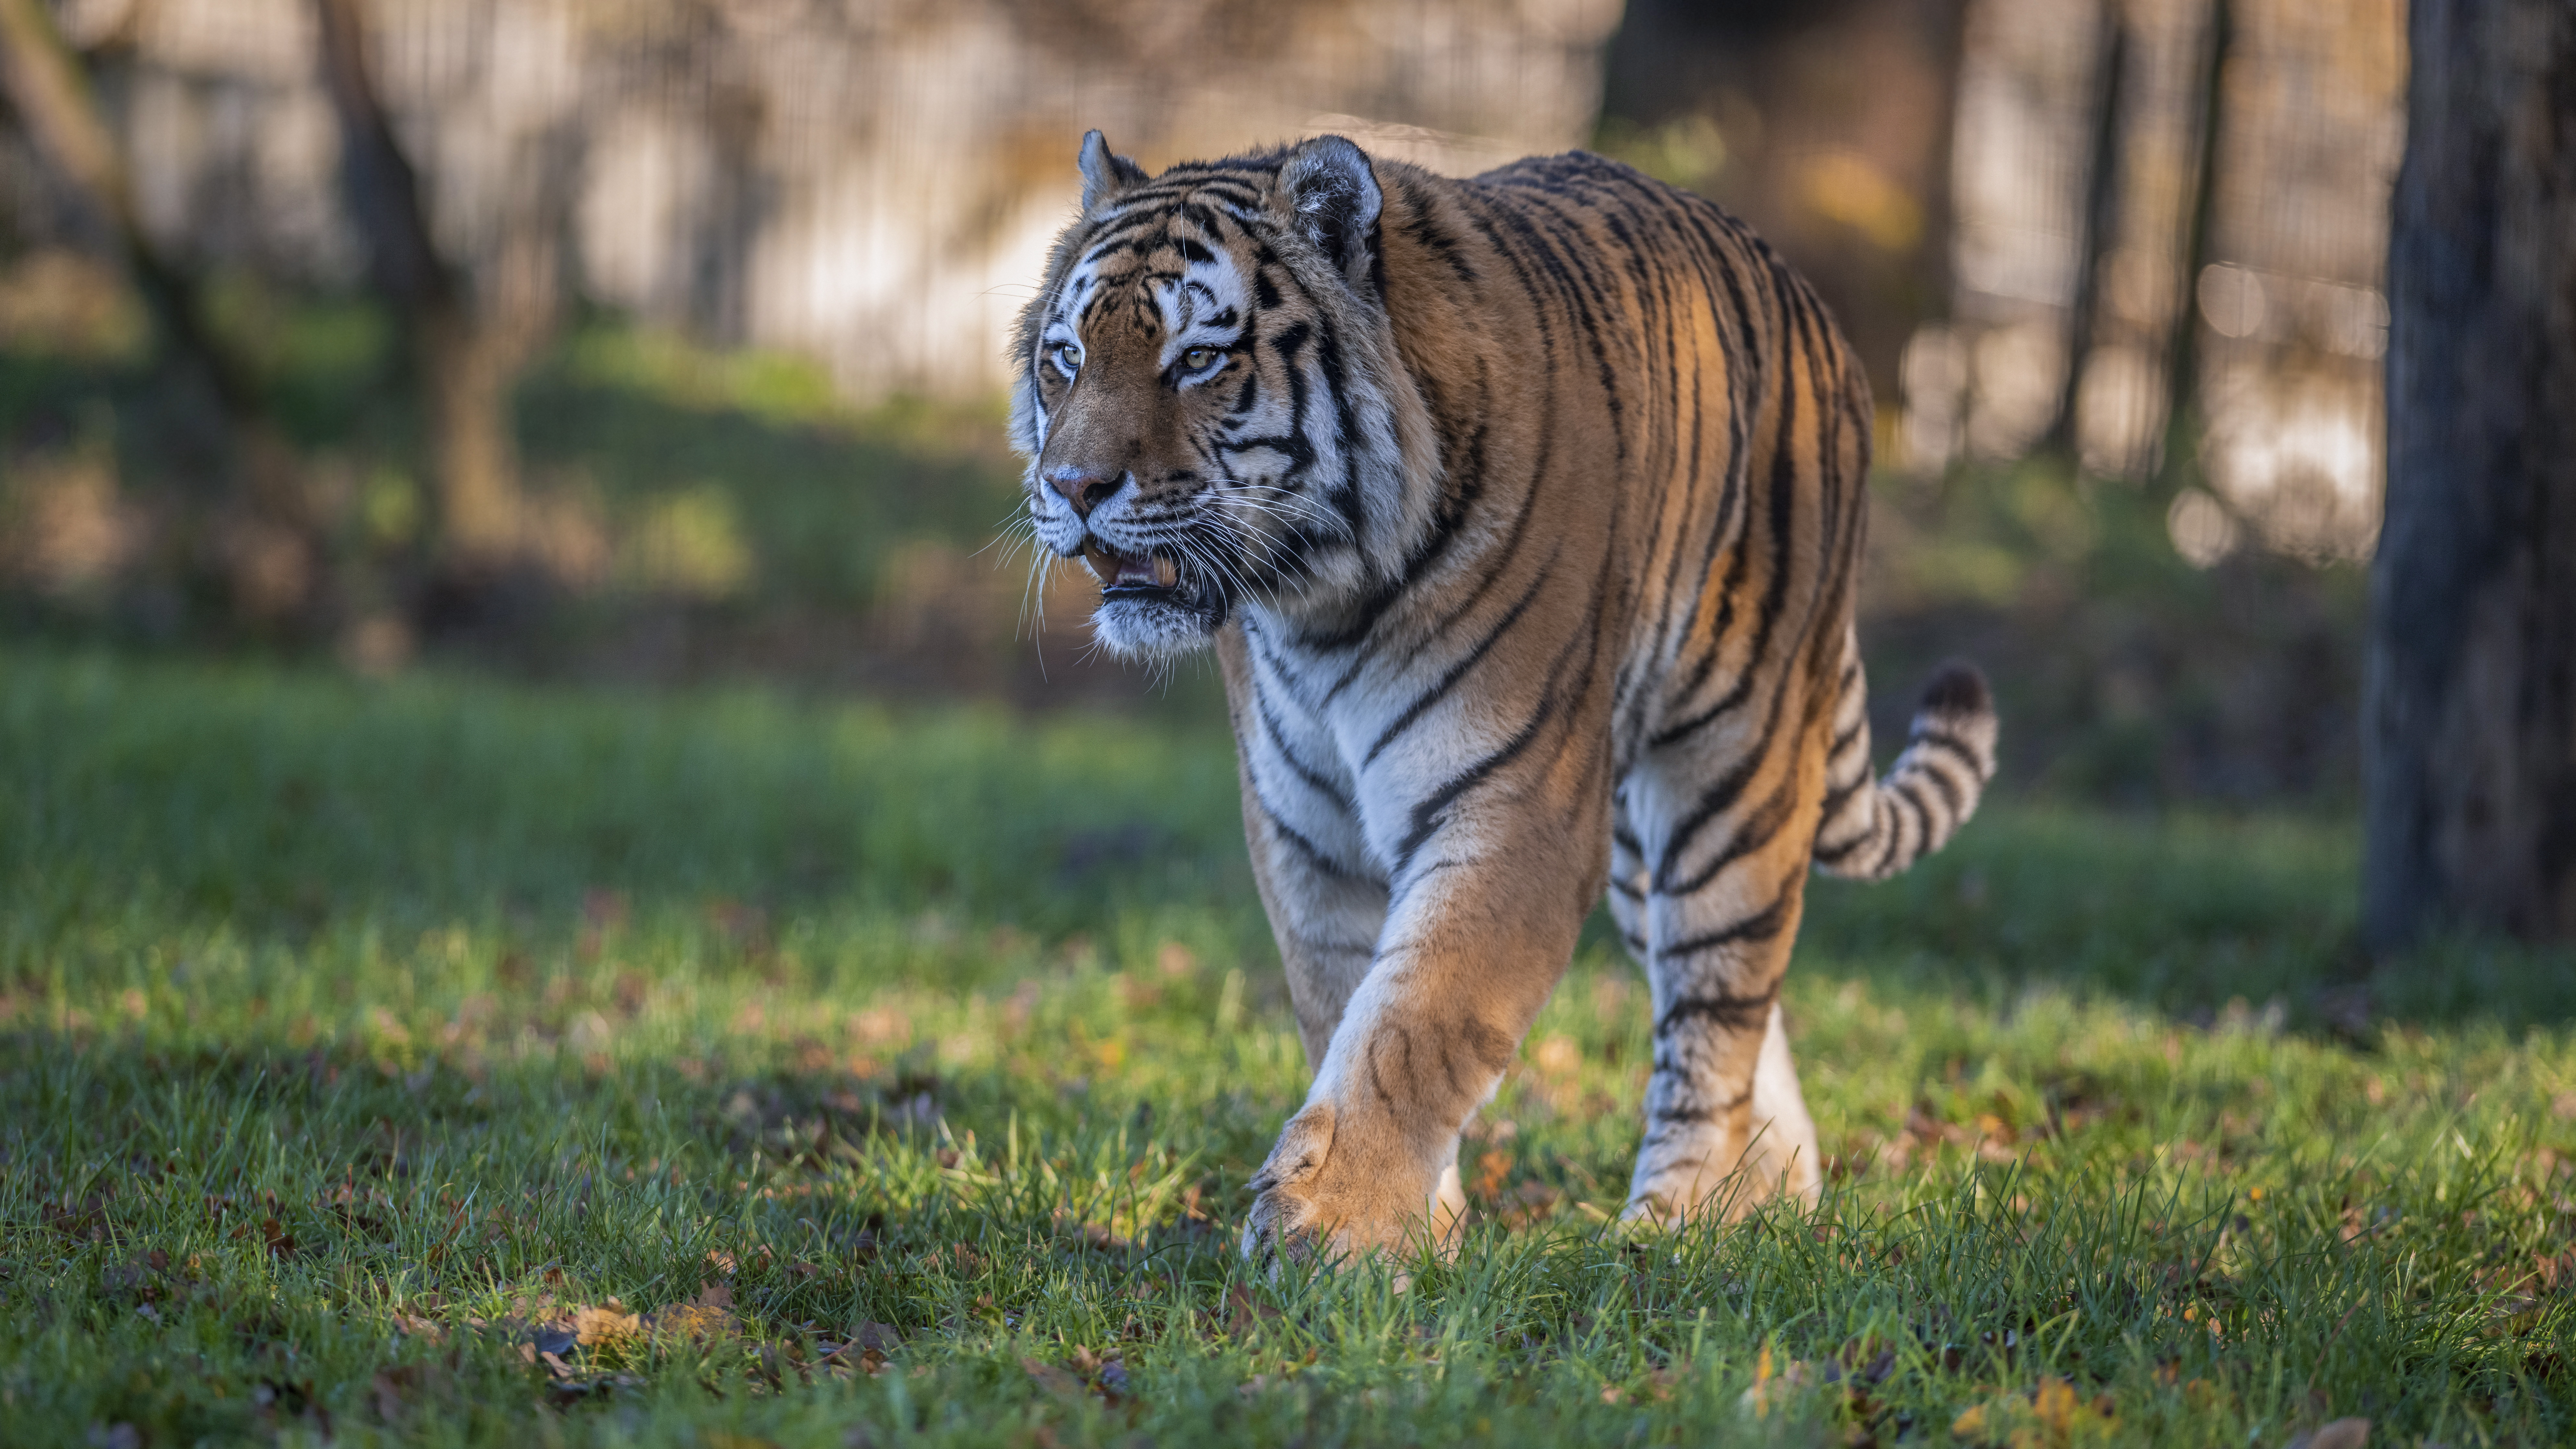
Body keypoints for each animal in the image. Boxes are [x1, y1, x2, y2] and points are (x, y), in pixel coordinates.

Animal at [999, 129, 1988, 1258]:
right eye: (1066, 357)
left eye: (1198, 359)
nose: (1072, 487)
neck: (1318, 606)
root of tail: (1807, 305)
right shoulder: (1305, 829)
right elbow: (1345, 1002)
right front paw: (1413, 1228)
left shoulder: (1516, 806)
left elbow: (1416, 1020)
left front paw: (1330, 1234)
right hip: (1635, 838)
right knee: (1741, 998)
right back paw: (1763, 1198)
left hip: (1731, 767)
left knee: (1718, 1007)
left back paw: (1679, 1220)